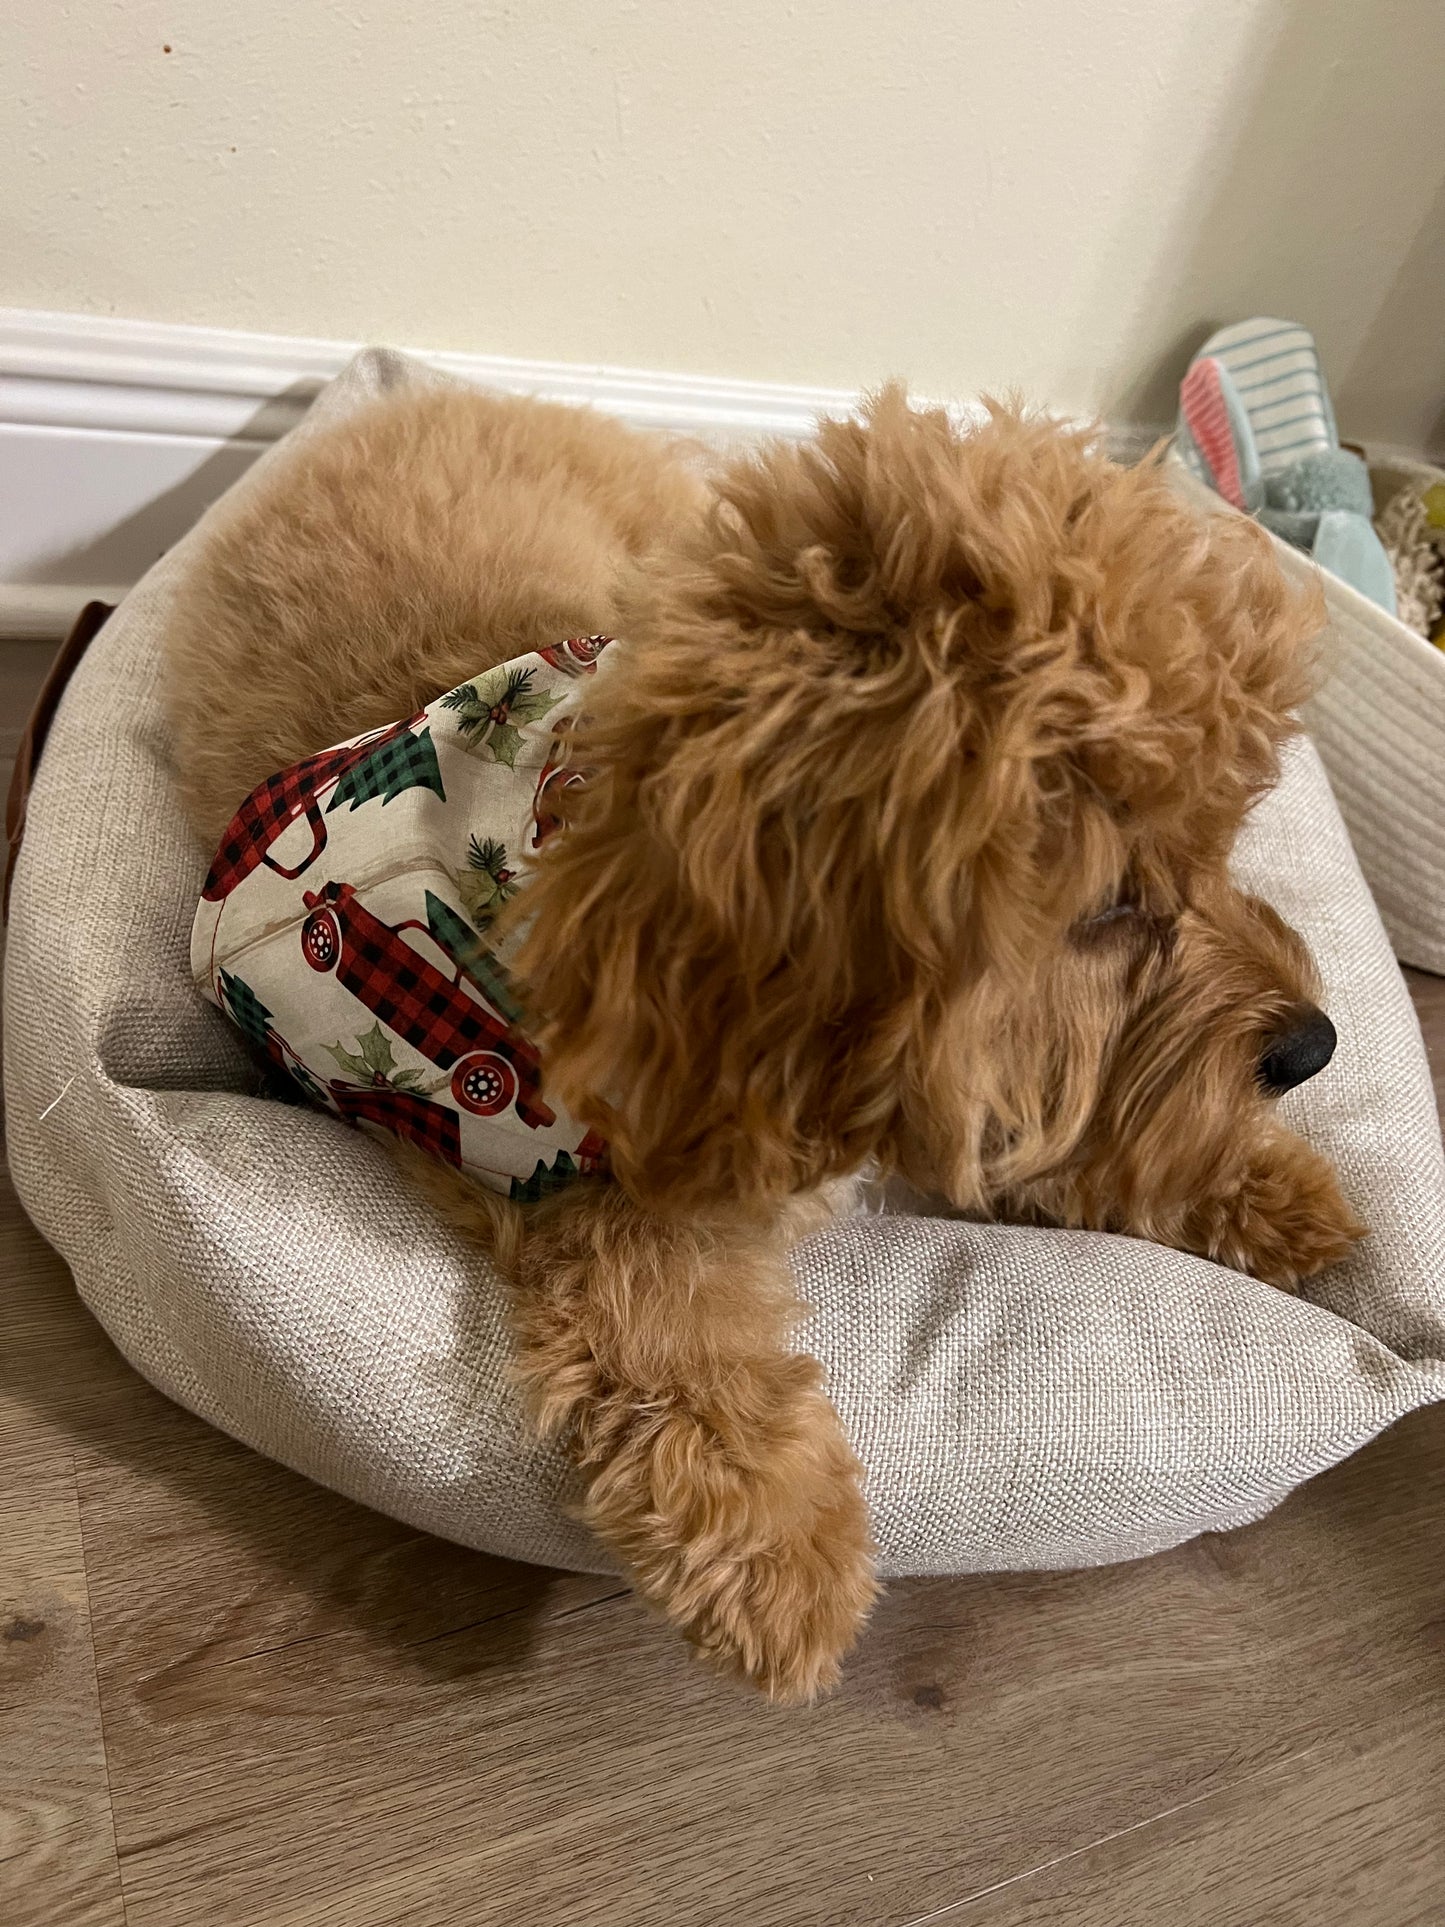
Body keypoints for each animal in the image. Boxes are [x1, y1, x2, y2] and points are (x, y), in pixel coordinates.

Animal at [163, 375, 1364, 1703]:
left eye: (1219, 845)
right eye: (1107, 902)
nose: (1310, 1047)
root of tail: (422, 391)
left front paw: (1259, 1185)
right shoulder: (561, 1167)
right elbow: (665, 1310)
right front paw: (775, 1543)